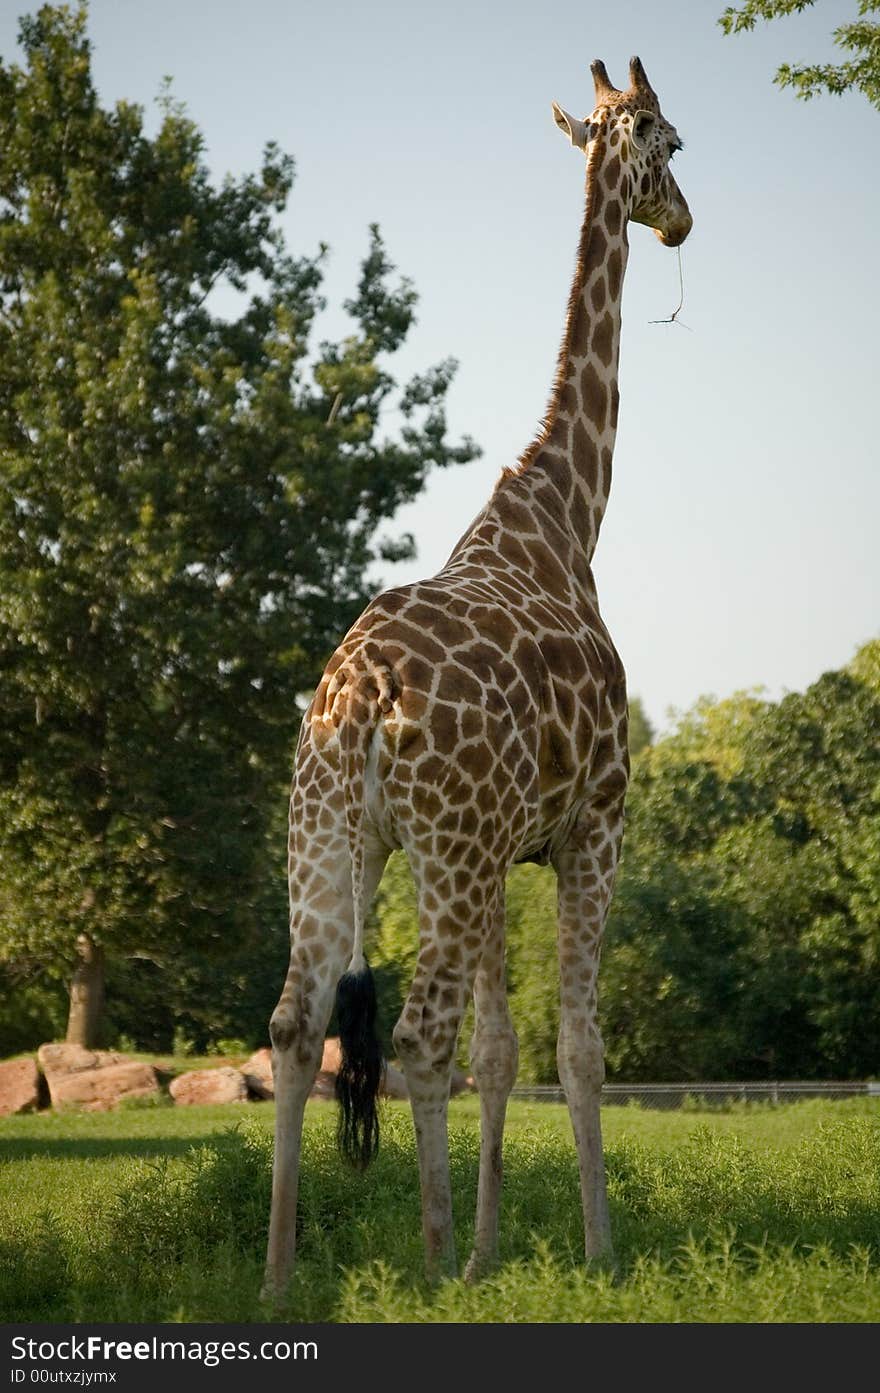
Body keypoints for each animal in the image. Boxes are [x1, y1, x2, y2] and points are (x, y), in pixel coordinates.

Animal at [264, 54, 690, 1292]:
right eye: (674, 144)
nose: (683, 221)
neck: (565, 516)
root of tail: (356, 703)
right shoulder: (593, 823)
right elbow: (576, 1047)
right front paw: (594, 1252)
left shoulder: (509, 849)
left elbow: (503, 1052)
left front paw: (498, 1252)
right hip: (438, 849)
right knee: (415, 1038)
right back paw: (423, 1259)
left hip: (332, 836)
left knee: (297, 1026)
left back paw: (281, 1272)